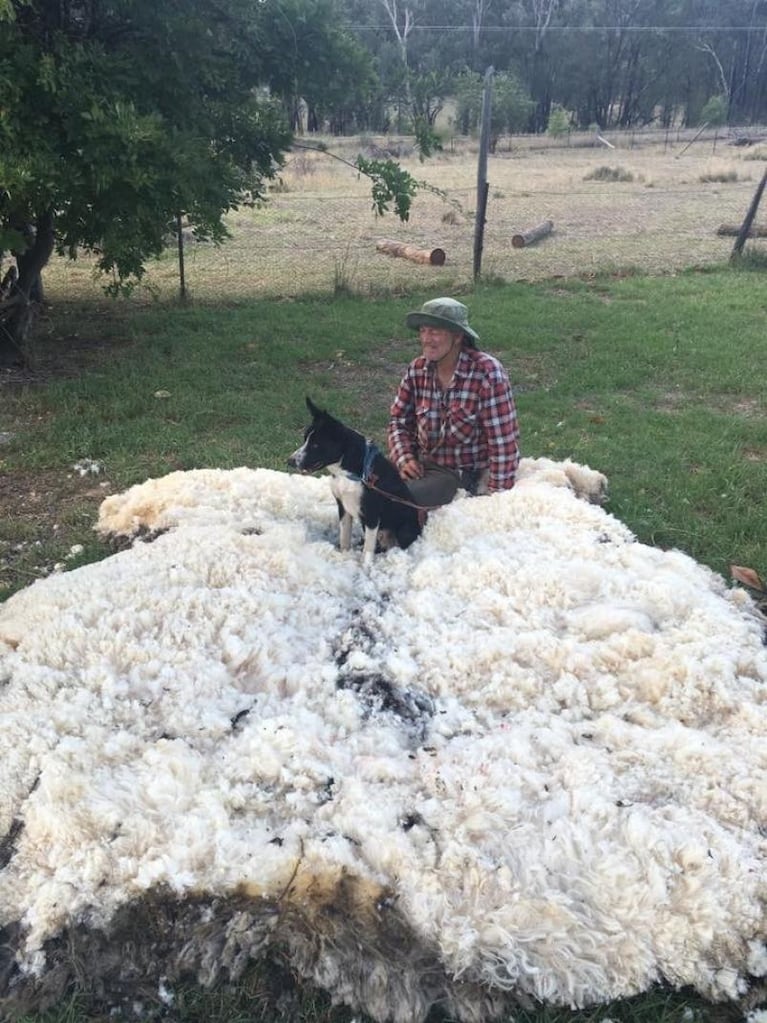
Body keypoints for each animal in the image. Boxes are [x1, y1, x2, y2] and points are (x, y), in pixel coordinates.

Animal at [288, 394, 423, 564]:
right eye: (305, 439)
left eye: (316, 445)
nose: (290, 461)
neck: (348, 473)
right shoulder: (343, 507)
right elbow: (344, 537)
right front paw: (345, 557)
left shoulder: (371, 514)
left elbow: (367, 550)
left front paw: (365, 566)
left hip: (405, 528)